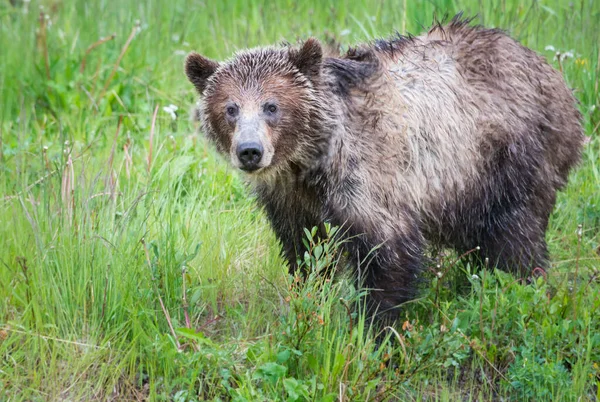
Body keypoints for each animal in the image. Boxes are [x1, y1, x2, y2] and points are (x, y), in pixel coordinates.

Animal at [185, 15, 584, 318]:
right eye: (230, 108)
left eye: (272, 105)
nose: (250, 151)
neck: (310, 159)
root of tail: (557, 79)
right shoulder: (291, 199)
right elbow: (305, 251)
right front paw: (310, 298)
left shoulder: (369, 178)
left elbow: (387, 254)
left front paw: (371, 328)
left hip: (509, 158)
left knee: (515, 235)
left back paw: (521, 290)